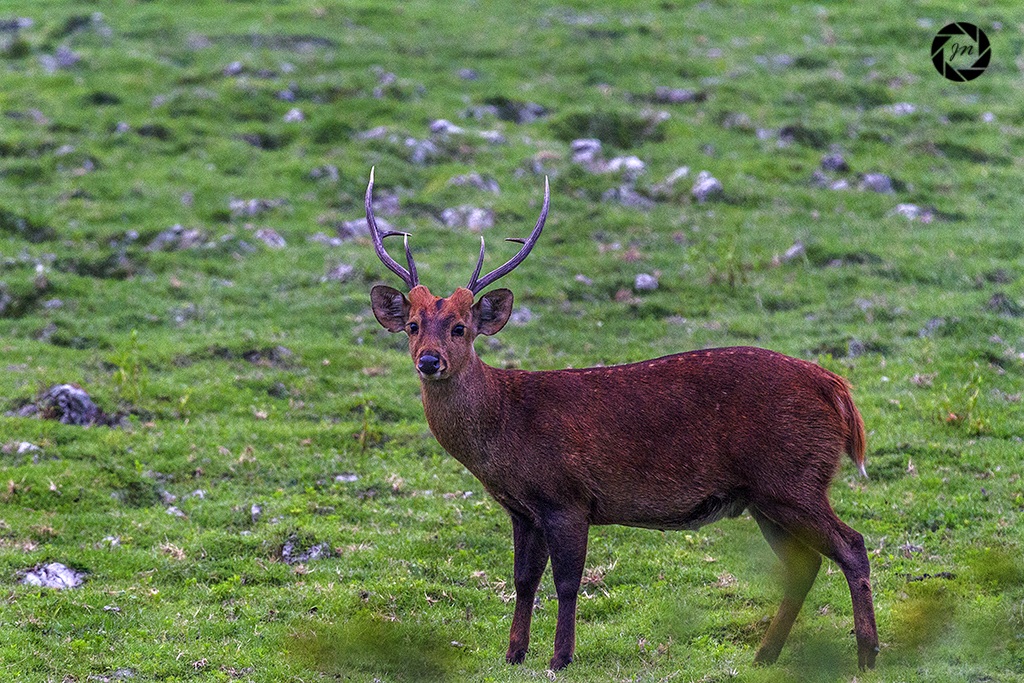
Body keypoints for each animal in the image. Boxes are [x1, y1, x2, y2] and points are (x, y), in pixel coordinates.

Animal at [364, 168, 879, 671]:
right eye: (412, 325)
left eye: (460, 328)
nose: (429, 361)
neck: (506, 428)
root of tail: (835, 387)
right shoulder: (523, 509)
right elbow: (523, 580)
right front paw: (513, 653)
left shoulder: (567, 497)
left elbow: (567, 583)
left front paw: (561, 657)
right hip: (764, 495)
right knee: (804, 564)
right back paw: (766, 654)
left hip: (793, 478)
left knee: (852, 545)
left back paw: (867, 654)